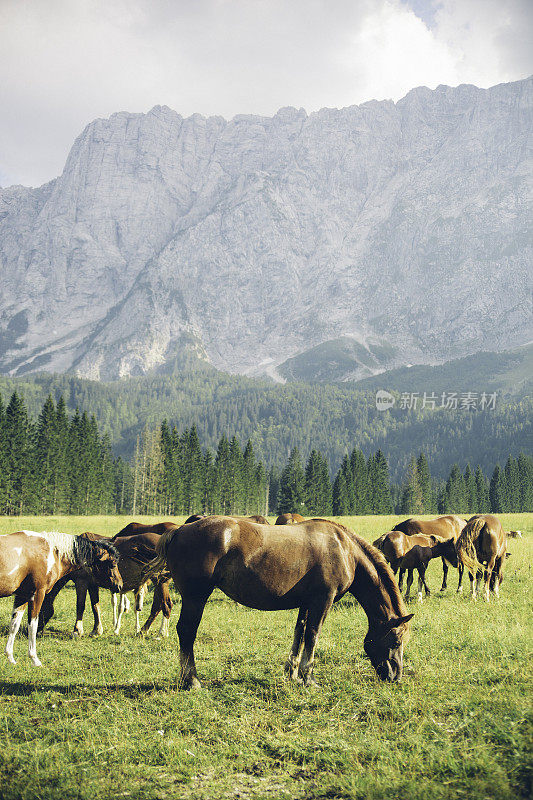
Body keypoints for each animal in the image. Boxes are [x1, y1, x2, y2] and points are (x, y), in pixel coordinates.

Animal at [0, 532, 121, 668]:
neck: (50, 552)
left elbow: (14, 625)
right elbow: (32, 626)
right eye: (112, 565)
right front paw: (34, 659)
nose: (119, 585)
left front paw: (10, 657)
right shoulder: (37, 594)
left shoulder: (23, 596)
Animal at [143, 520, 414, 688]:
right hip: (196, 597)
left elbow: (300, 633)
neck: (345, 551)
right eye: (396, 641)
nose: (396, 676)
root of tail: (179, 530)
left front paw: (292, 672)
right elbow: (313, 635)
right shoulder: (322, 601)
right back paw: (191, 680)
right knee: (186, 631)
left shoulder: (307, 602)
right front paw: (308, 677)